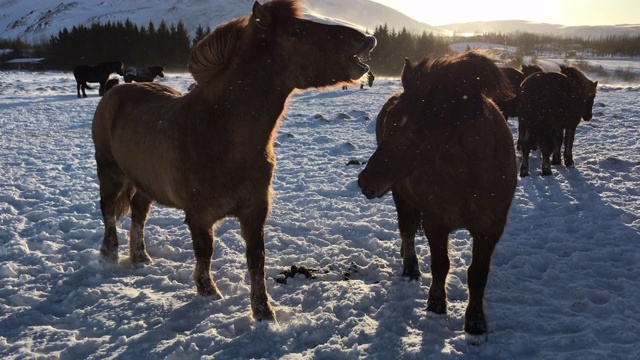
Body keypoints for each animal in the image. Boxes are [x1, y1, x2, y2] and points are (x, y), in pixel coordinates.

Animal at [93, 0, 378, 322]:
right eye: (297, 31)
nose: (366, 39)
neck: (221, 132)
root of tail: (115, 92)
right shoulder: (199, 216)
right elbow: (205, 252)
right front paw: (208, 291)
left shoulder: (254, 211)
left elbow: (257, 260)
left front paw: (264, 311)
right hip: (110, 175)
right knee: (109, 212)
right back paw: (110, 255)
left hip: (144, 182)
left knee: (139, 212)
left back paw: (141, 257)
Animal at [358, 51, 516, 338]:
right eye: (391, 122)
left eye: (418, 129)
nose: (365, 182)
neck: (468, 180)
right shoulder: (436, 223)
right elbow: (440, 264)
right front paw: (435, 305)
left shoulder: (490, 229)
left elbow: (478, 274)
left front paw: (475, 322)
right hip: (400, 195)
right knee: (407, 231)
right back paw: (410, 268)